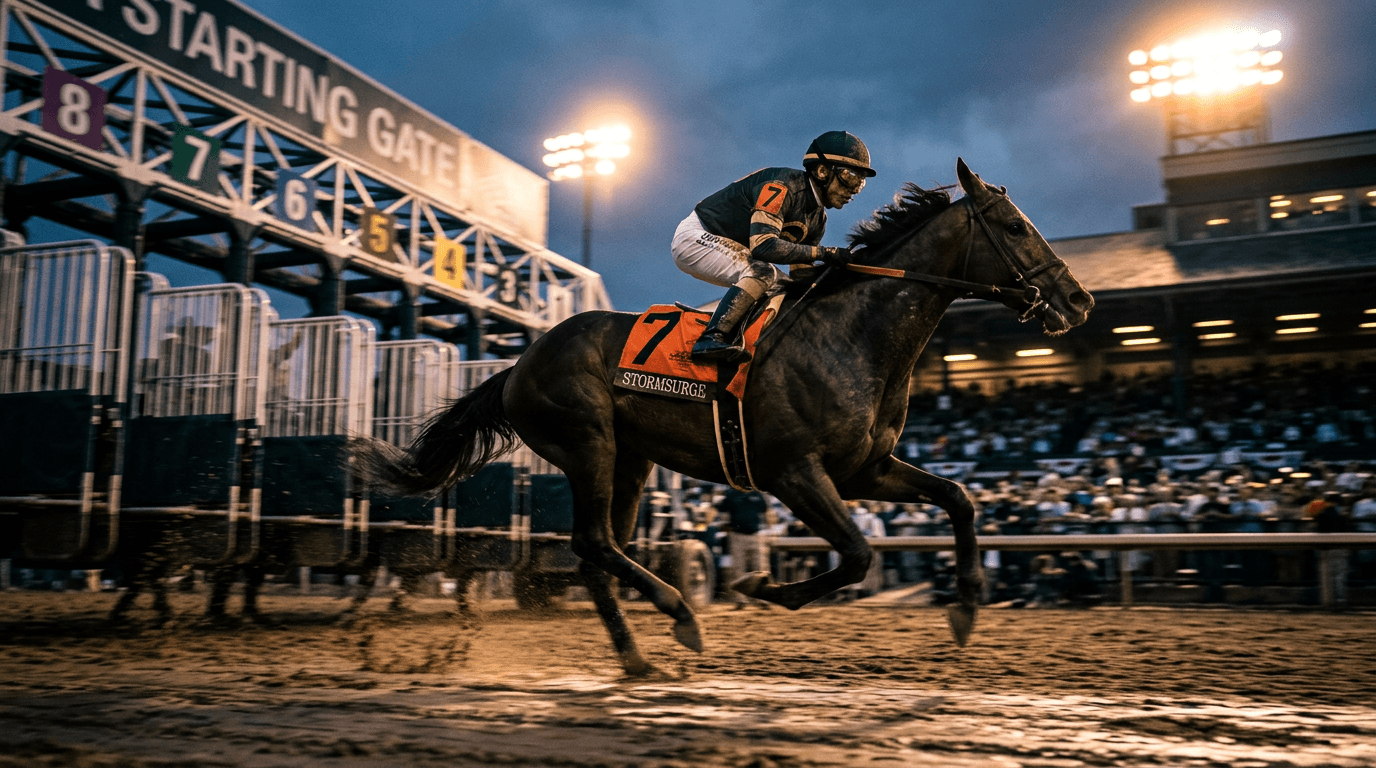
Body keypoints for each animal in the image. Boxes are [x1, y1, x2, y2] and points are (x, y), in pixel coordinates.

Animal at [360, 159, 1094, 676]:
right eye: (1014, 226)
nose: (1078, 300)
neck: (852, 336)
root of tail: (519, 364)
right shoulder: (794, 472)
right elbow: (858, 554)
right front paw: (762, 584)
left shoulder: (865, 469)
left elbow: (959, 499)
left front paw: (966, 608)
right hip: (588, 443)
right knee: (594, 541)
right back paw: (680, 613)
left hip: (630, 460)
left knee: (599, 550)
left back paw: (637, 656)